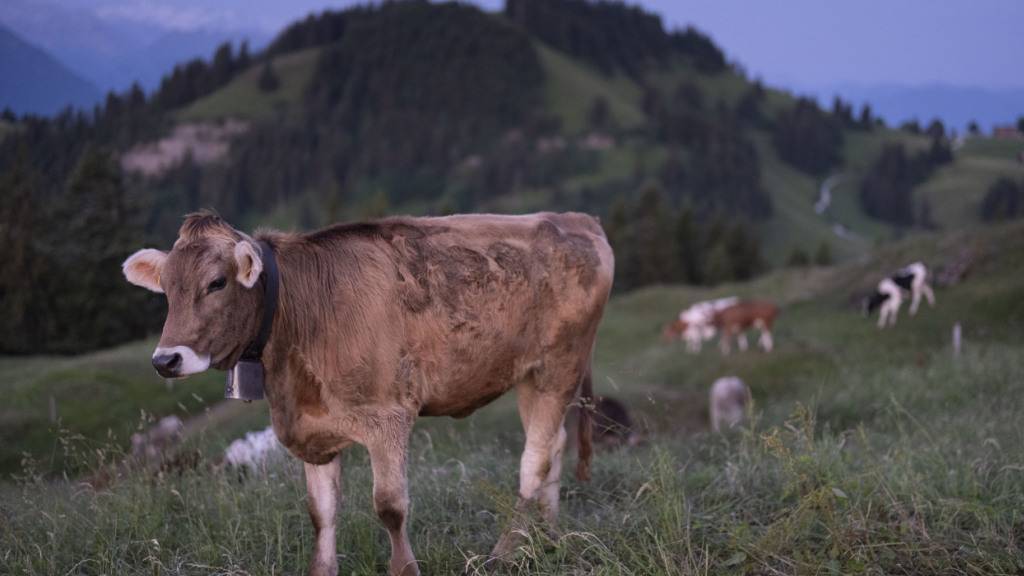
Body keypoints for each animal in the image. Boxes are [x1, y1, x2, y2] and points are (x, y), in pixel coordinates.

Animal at [121, 211, 614, 576]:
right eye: (167, 288)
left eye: (216, 283)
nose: (165, 360)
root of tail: (576, 218)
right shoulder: (312, 429)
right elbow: (320, 513)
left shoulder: (387, 418)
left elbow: (390, 508)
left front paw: (405, 568)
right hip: (532, 375)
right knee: (554, 445)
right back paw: (547, 539)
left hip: (559, 366)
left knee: (534, 461)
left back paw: (505, 552)